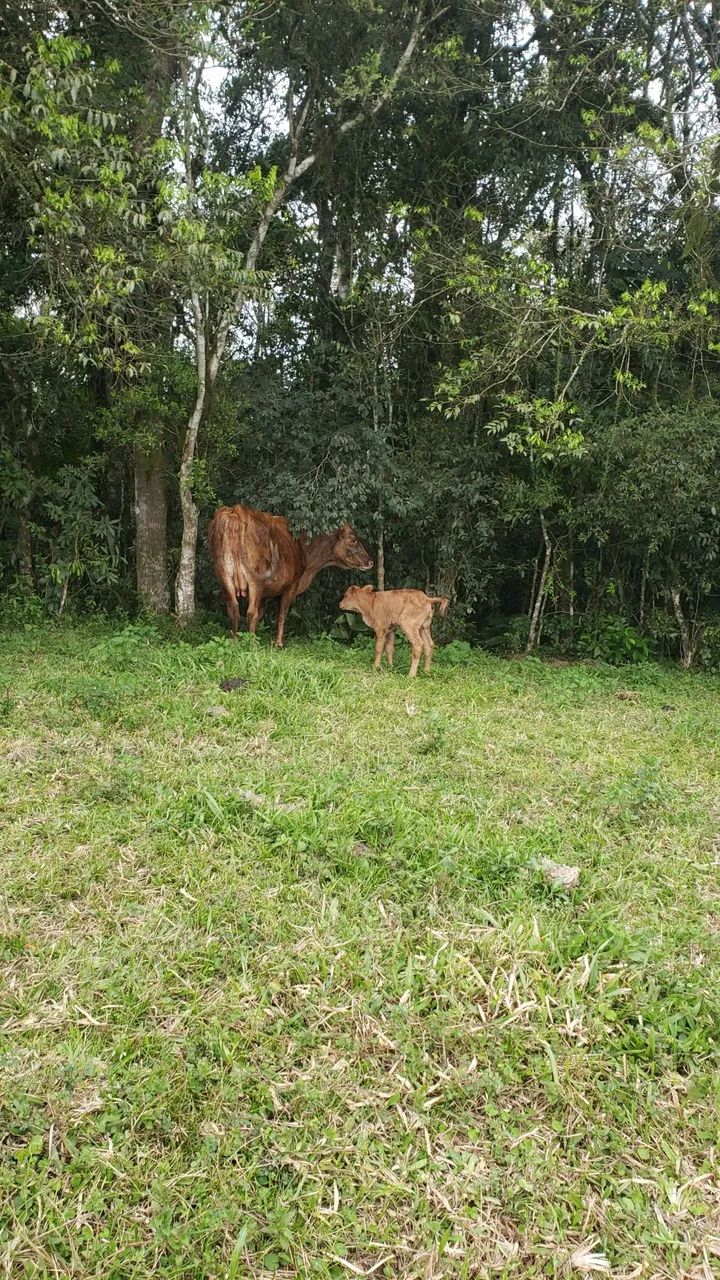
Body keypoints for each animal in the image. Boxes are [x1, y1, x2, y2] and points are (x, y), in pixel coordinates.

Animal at [208, 503, 372, 647]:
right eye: (353, 540)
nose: (370, 561)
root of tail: (237, 511)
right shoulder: (291, 586)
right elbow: (281, 614)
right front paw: (278, 643)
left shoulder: (266, 594)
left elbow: (262, 614)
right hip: (255, 579)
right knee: (250, 612)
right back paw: (252, 645)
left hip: (224, 575)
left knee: (233, 609)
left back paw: (235, 643)